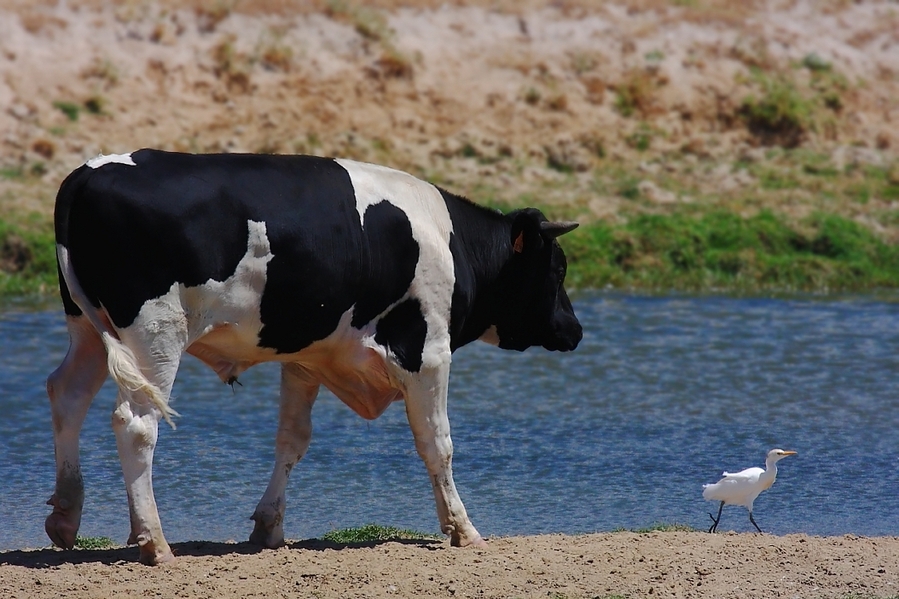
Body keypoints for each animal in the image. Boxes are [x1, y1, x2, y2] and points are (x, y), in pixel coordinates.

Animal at [45, 148, 584, 564]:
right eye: (557, 269)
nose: (575, 330)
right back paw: (154, 542)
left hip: (88, 327)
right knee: (136, 424)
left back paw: (66, 517)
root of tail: (91, 172)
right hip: (155, 334)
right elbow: (438, 444)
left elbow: (292, 440)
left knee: (67, 395)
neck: (447, 240)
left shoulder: (305, 358)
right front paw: (463, 529)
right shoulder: (426, 353)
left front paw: (268, 527)